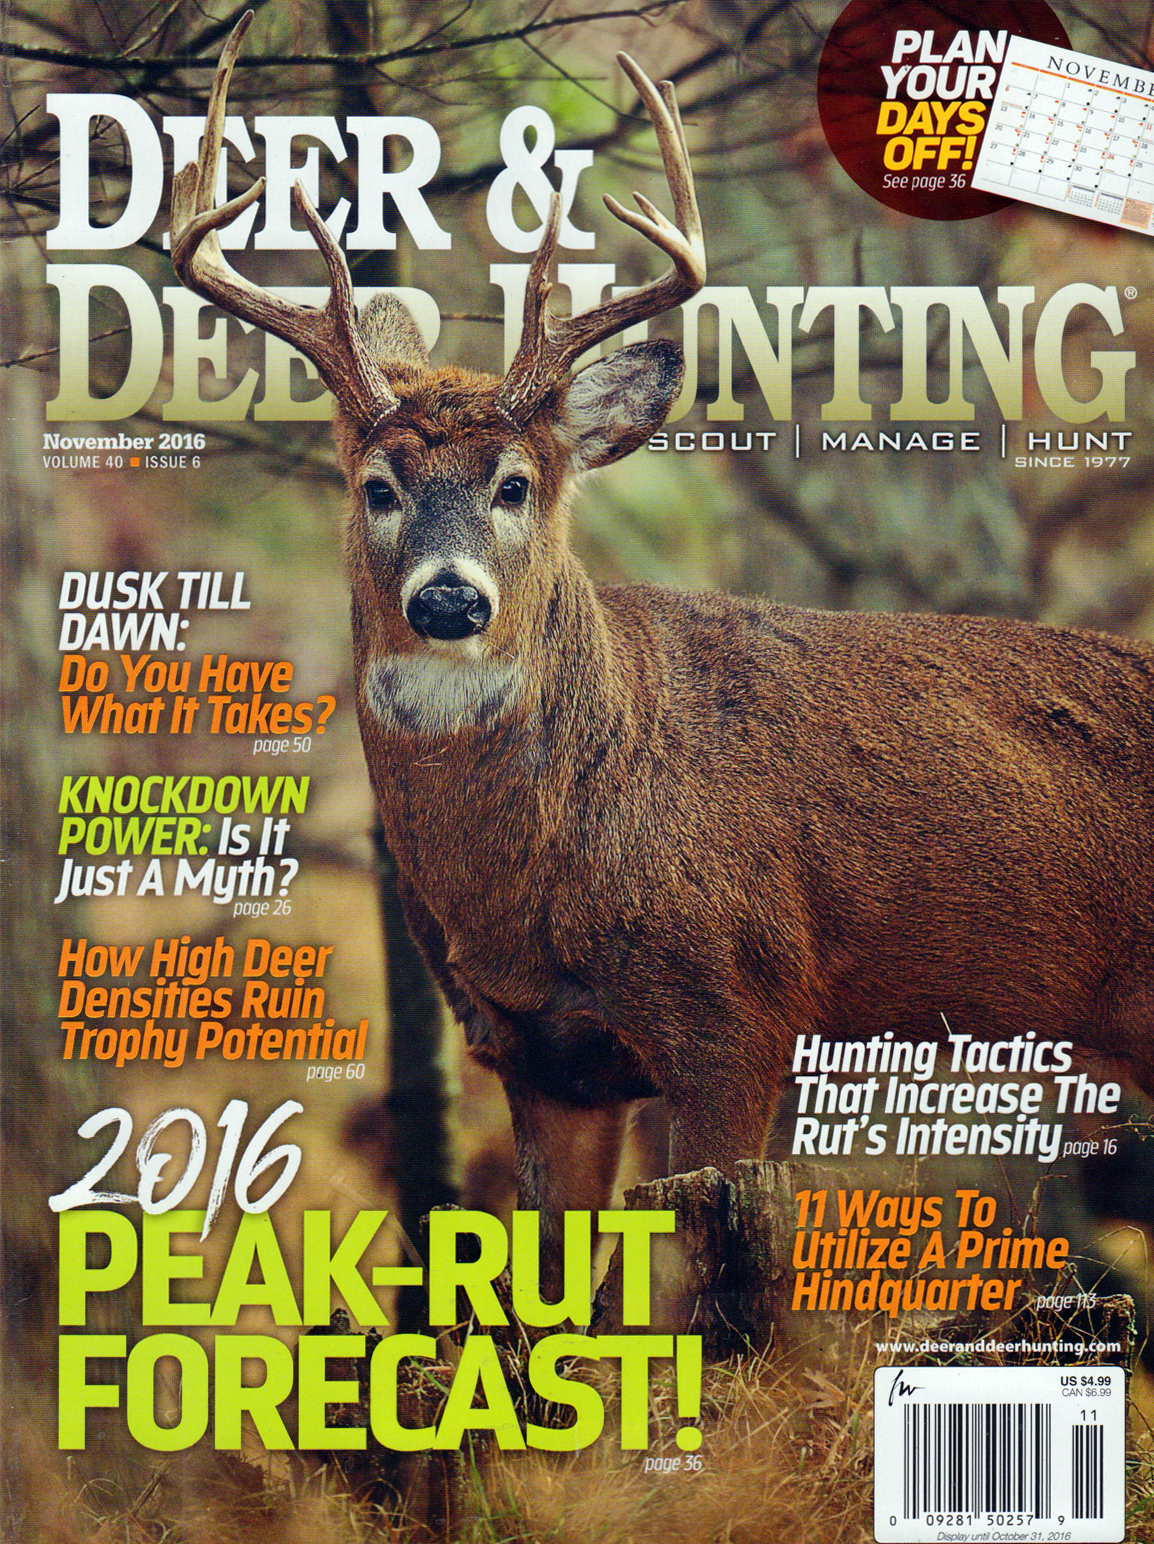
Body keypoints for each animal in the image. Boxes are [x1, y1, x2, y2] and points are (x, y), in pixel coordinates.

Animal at [173, 16, 1154, 1282]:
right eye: (376, 486)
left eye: (514, 483)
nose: (448, 600)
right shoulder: (538, 1053)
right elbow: (546, 1293)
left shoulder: (733, 1011)